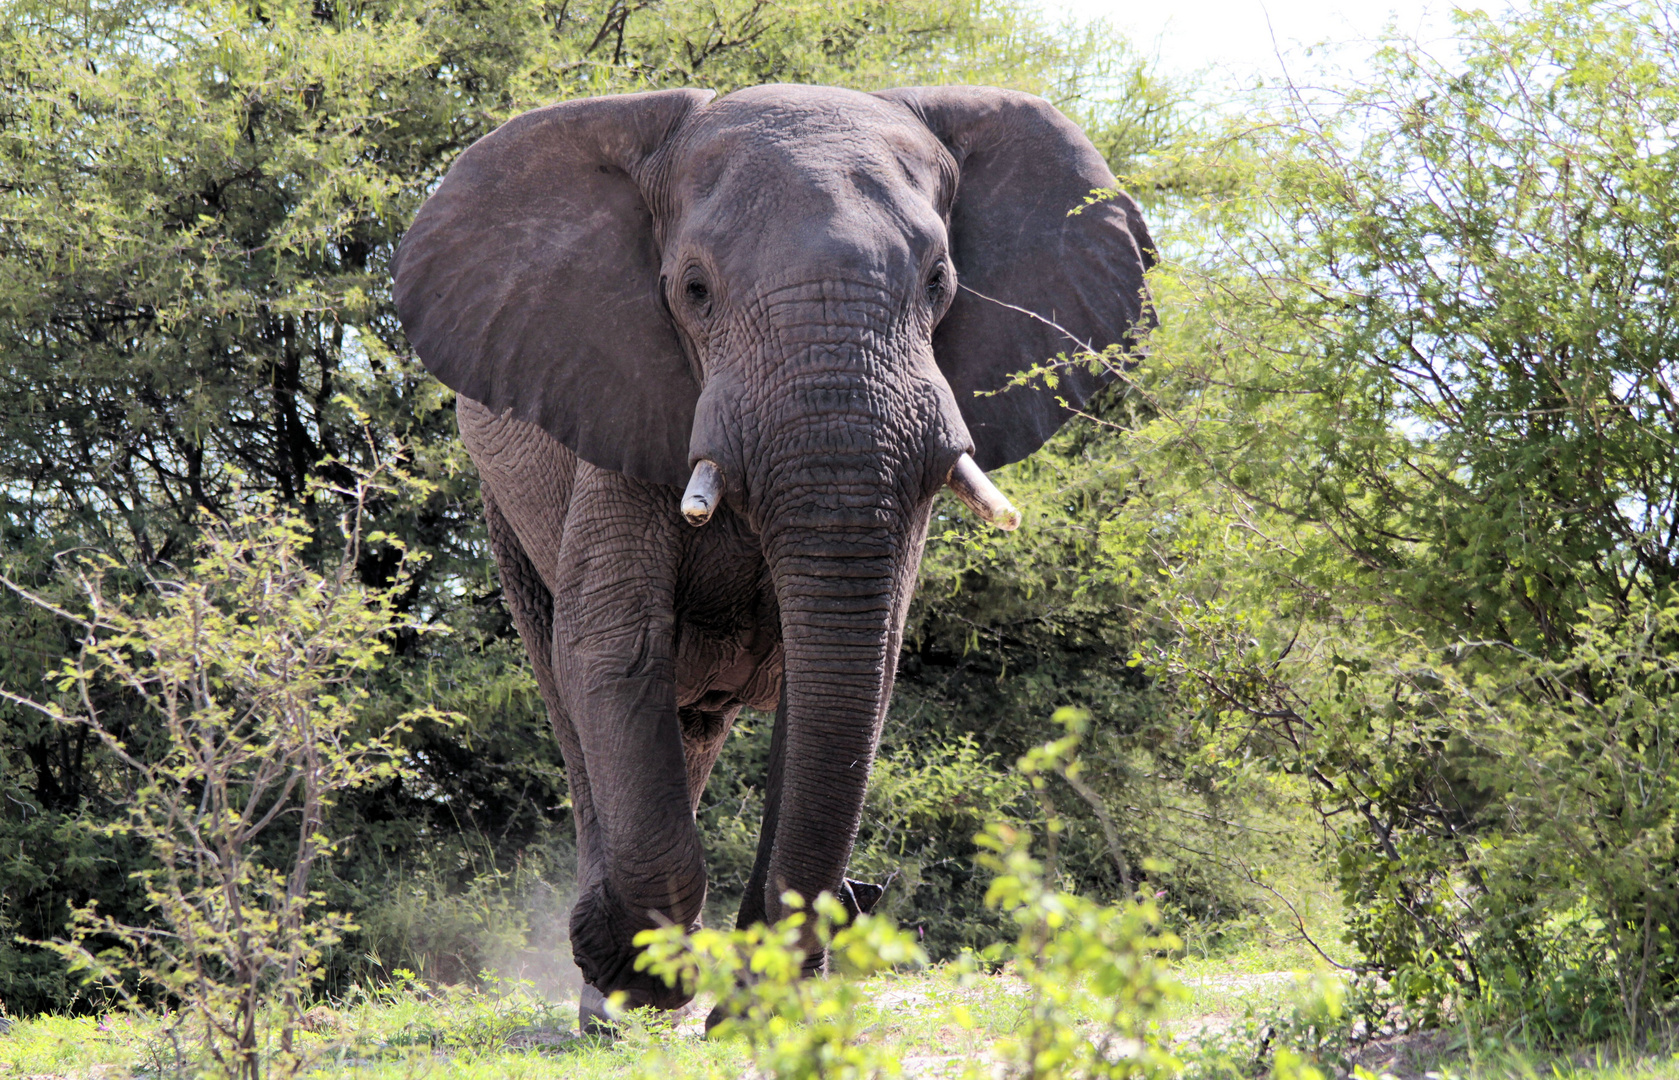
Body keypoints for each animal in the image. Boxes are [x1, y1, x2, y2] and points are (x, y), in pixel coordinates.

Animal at [392, 80, 1155, 1027]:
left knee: (692, 723)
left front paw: (763, 1000)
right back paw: (610, 1001)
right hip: (503, 499)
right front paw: (639, 971)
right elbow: (614, 649)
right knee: (571, 690)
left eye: (939, 281)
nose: (864, 896)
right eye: (693, 289)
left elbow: (846, 670)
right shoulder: (616, 399)